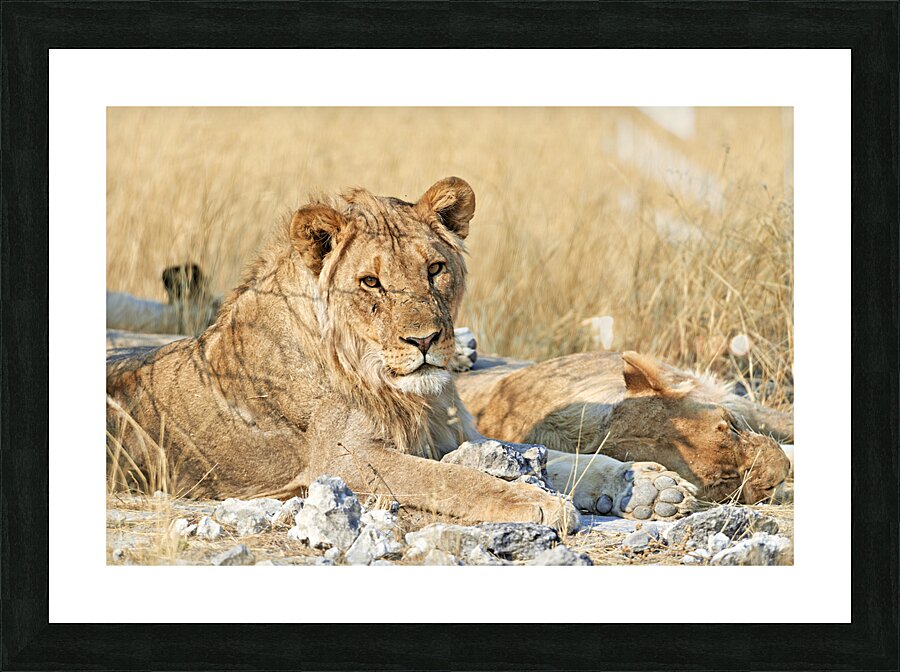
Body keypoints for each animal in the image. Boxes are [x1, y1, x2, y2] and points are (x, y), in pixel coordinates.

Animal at [107, 177, 699, 530]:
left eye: (434, 269)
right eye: (370, 282)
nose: (425, 341)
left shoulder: (456, 433)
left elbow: (563, 457)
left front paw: (651, 483)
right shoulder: (344, 459)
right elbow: (454, 479)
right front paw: (537, 503)